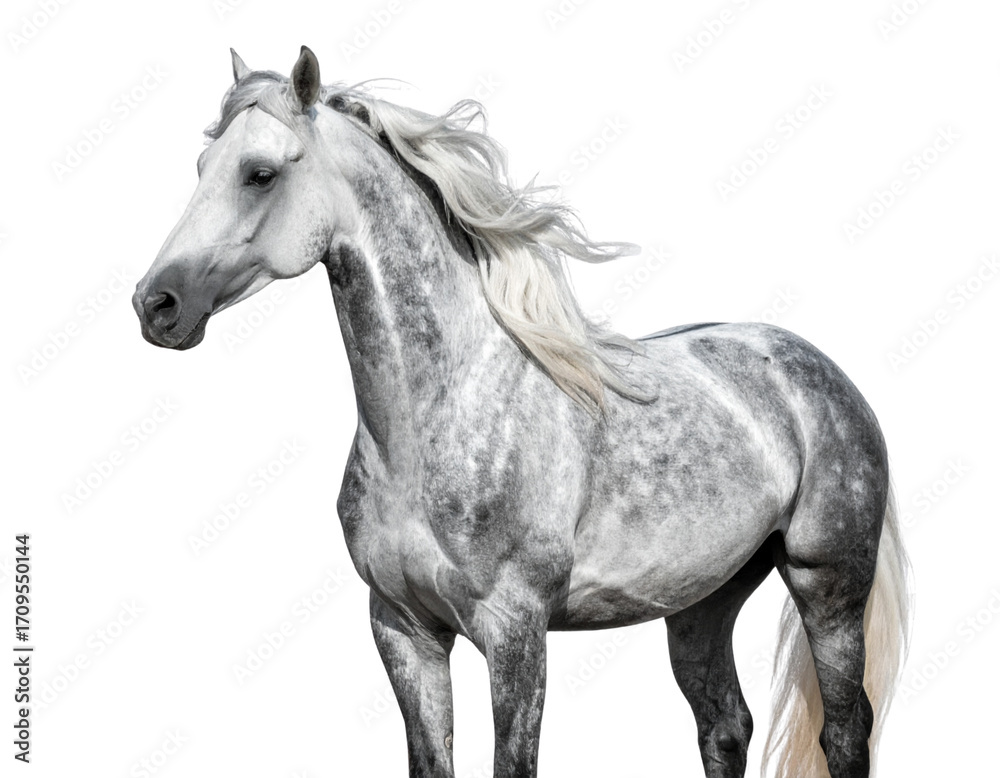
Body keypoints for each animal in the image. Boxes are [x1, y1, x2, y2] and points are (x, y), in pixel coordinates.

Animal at [133, 46, 910, 778]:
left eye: (259, 173)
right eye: (202, 165)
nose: (155, 305)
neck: (434, 425)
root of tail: (822, 373)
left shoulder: (515, 633)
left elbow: (514, 762)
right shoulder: (403, 630)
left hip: (827, 588)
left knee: (844, 734)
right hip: (702, 602)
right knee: (725, 726)